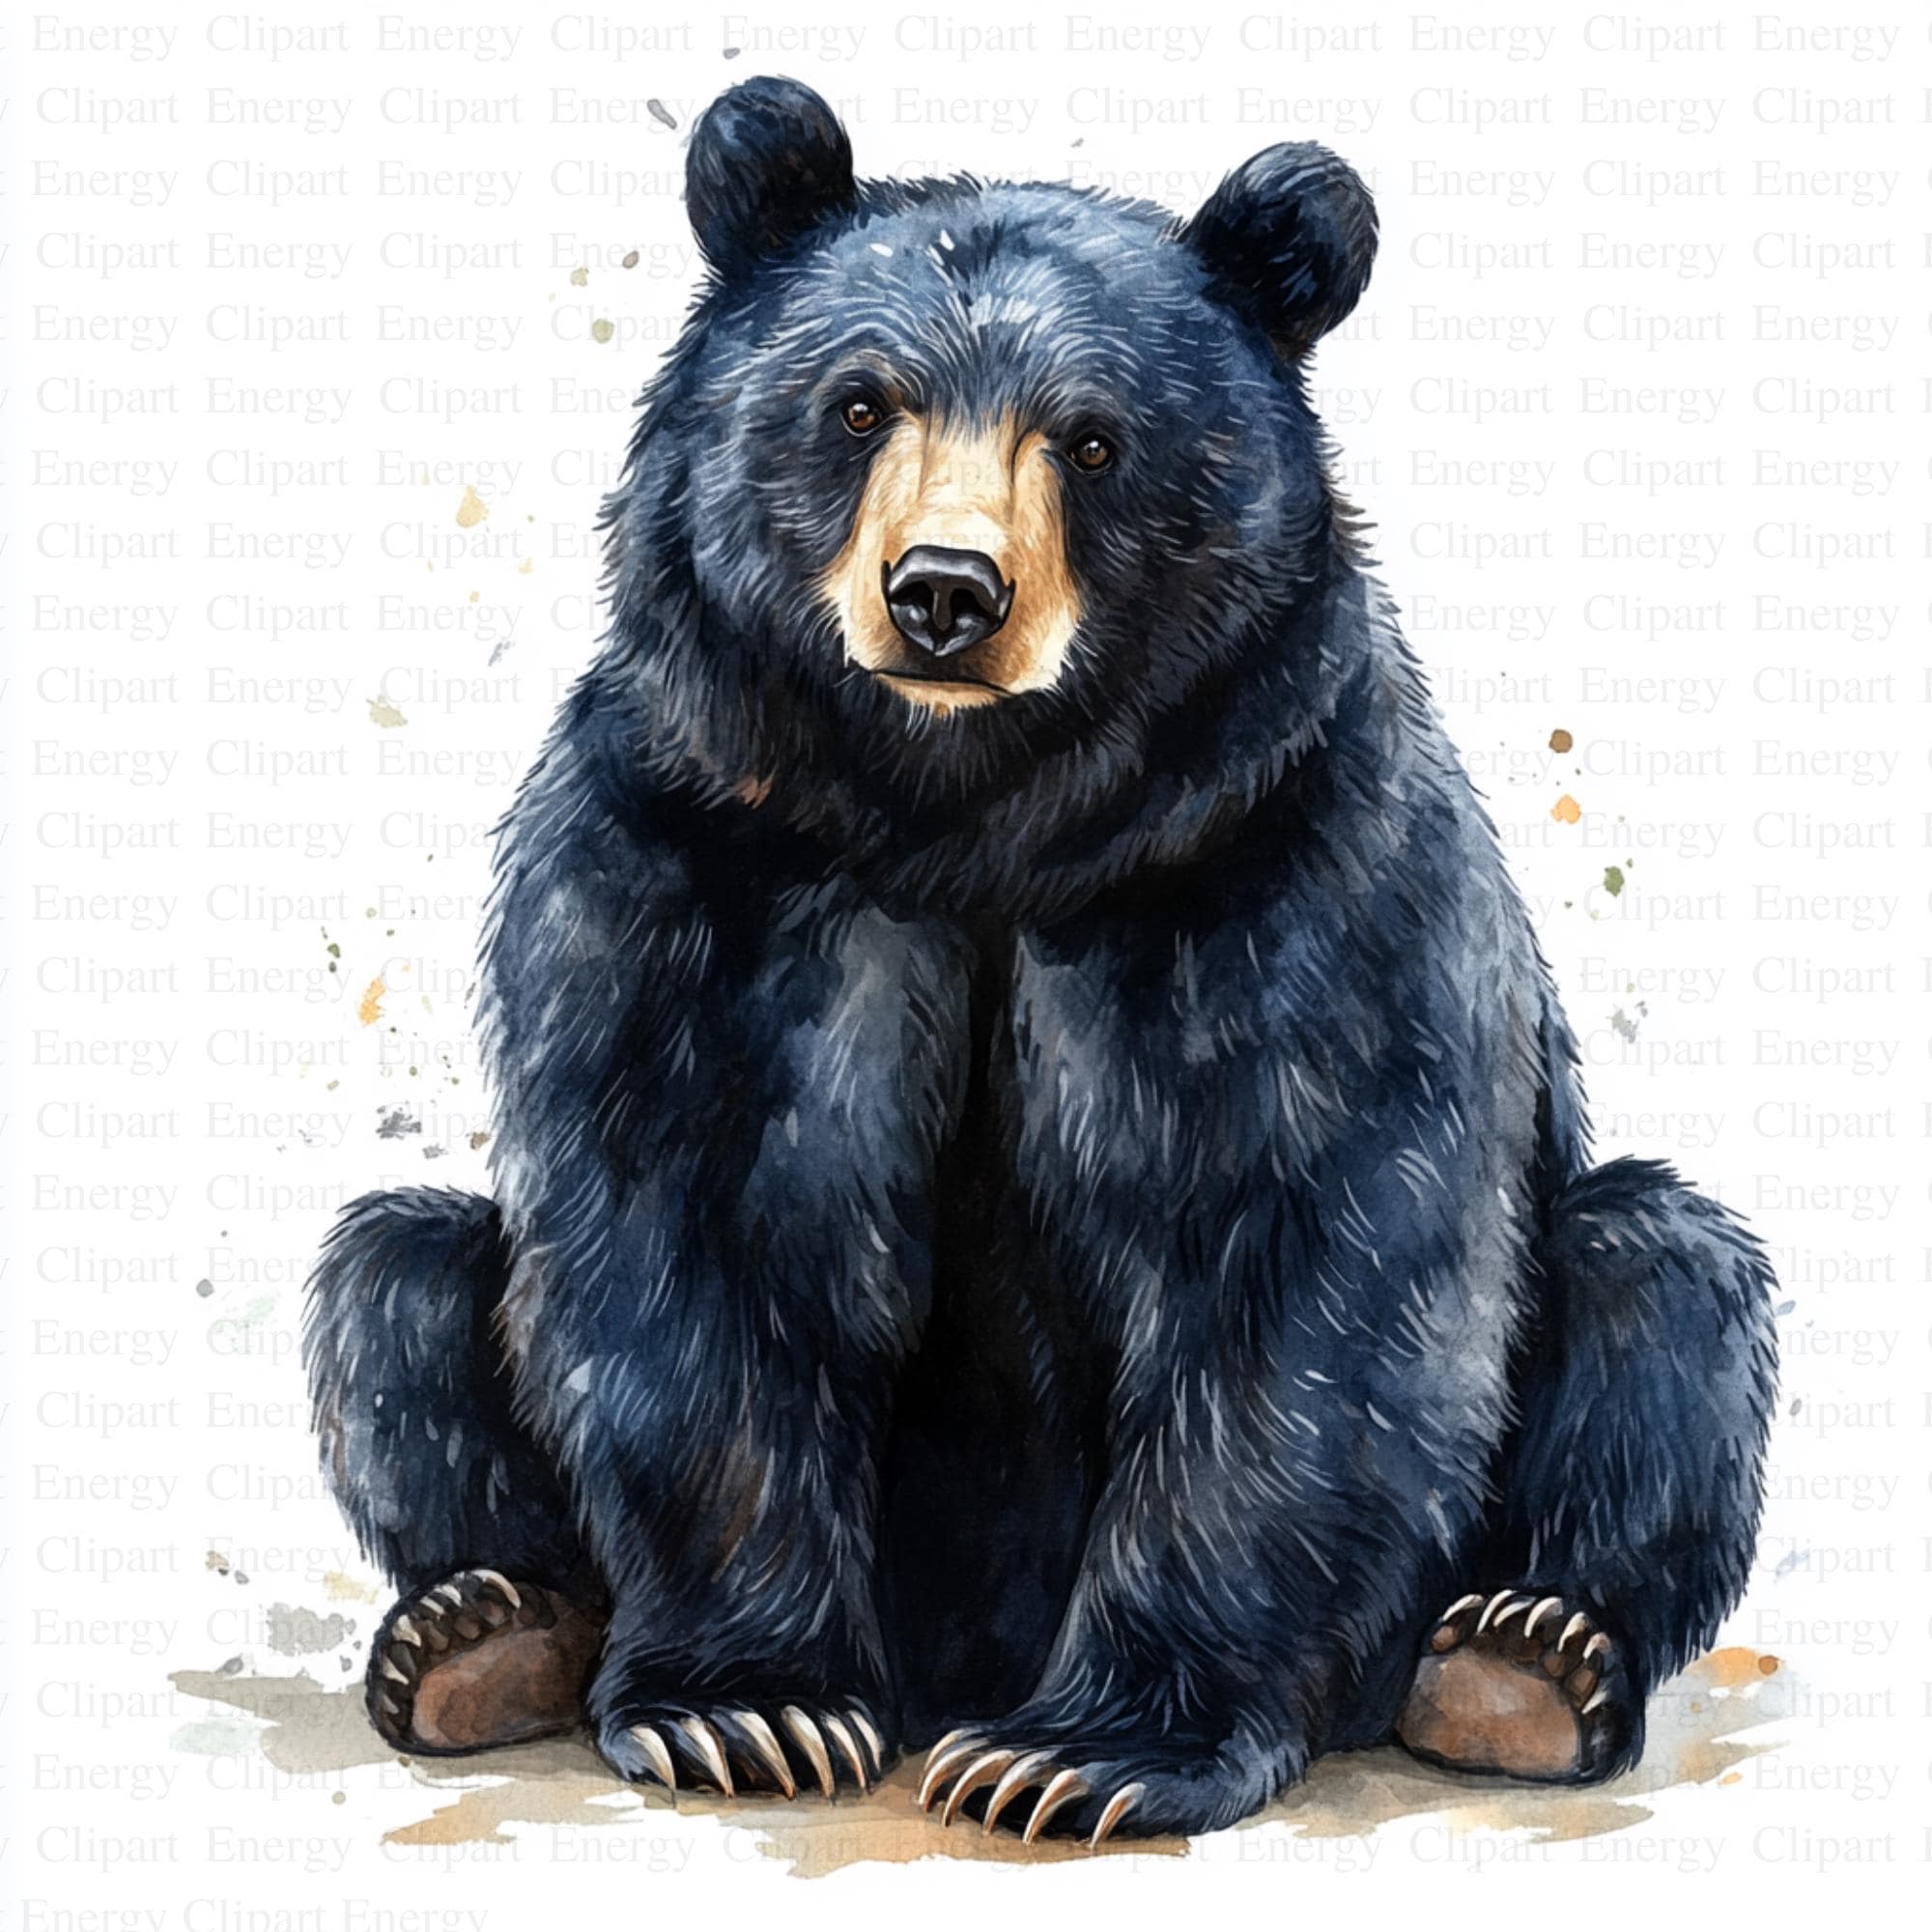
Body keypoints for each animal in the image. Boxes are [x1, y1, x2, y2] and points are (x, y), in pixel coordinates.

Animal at [305, 76, 1777, 1844]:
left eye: (1089, 437)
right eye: (858, 403)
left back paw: (1519, 1663)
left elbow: (1303, 1263)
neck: (972, 824)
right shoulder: (700, 860)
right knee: (399, 1279)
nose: (944, 592)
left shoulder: (1279, 862)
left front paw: (1087, 1752)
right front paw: (753, 1708)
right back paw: (485, 1632)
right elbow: (692, 1245)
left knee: (1662, 1286)